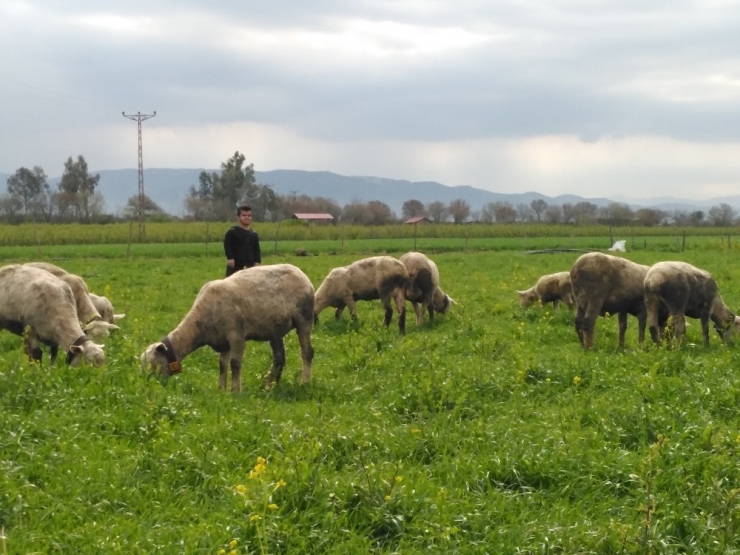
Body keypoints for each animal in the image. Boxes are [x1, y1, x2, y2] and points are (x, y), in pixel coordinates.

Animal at [142, 264, 316, 390]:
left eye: (153, 363)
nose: (149, 386)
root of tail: (300, 272)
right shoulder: (222, 340)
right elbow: (222, 365)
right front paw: (221, 389)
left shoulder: (236, 336)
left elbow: (235, 364)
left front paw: (235, 390)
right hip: (274, 330)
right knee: (279, 358)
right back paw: (270, 386)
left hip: (304, 320)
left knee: (307, 353)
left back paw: (304, 382)